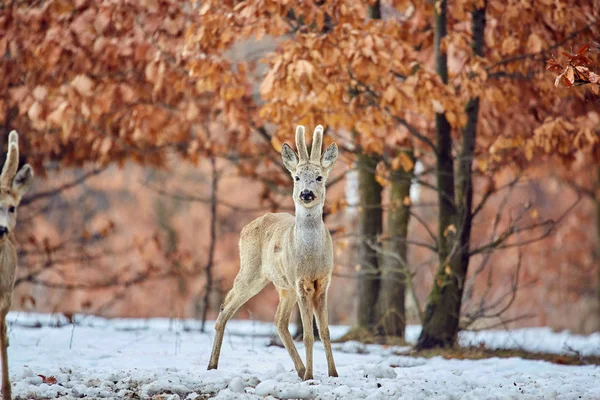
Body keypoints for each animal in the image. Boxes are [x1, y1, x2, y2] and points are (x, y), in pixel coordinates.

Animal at [207, 125, 340, 382]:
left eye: (319, 177)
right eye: (296, 177)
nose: (306, 193)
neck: (311, 259)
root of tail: (246, 228)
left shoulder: (323, 282)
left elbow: (325, 331)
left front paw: (333, 374)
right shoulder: (300, 282)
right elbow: (308, 334)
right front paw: (311, 377)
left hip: (283, 286)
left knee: (279, 321)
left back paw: (299, 369)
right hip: (250, 270)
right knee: (225, 307)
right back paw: (211, 366)